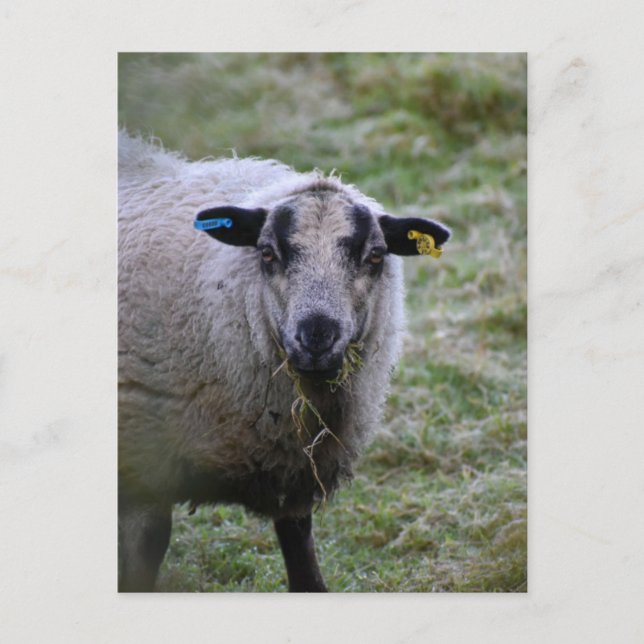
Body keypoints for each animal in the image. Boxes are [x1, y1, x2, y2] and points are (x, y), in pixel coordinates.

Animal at [118, 131, 451, 592]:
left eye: (375, 257)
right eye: (268, 254)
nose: (317, 337)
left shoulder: (294, 476)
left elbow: (305, 568)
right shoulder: (140, 473)